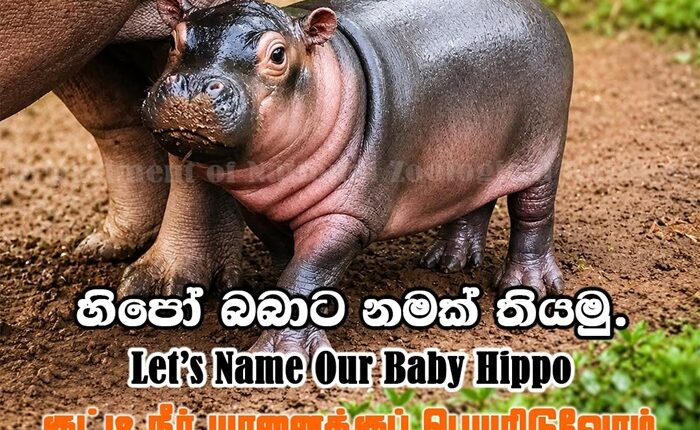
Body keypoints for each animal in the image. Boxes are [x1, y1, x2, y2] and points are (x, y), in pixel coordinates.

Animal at [144, 0, 574, 357]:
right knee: (473, 202)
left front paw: (282, 353)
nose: (191, 85)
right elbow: (289, 260)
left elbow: (306, 272)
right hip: (472, 156)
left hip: (542, 149)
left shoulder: (344, 218)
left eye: (278, 54)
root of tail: (546, 12)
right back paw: (448, 262)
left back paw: (525, 287)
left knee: (533, 214)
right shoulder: (261, 210)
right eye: (173, 40)